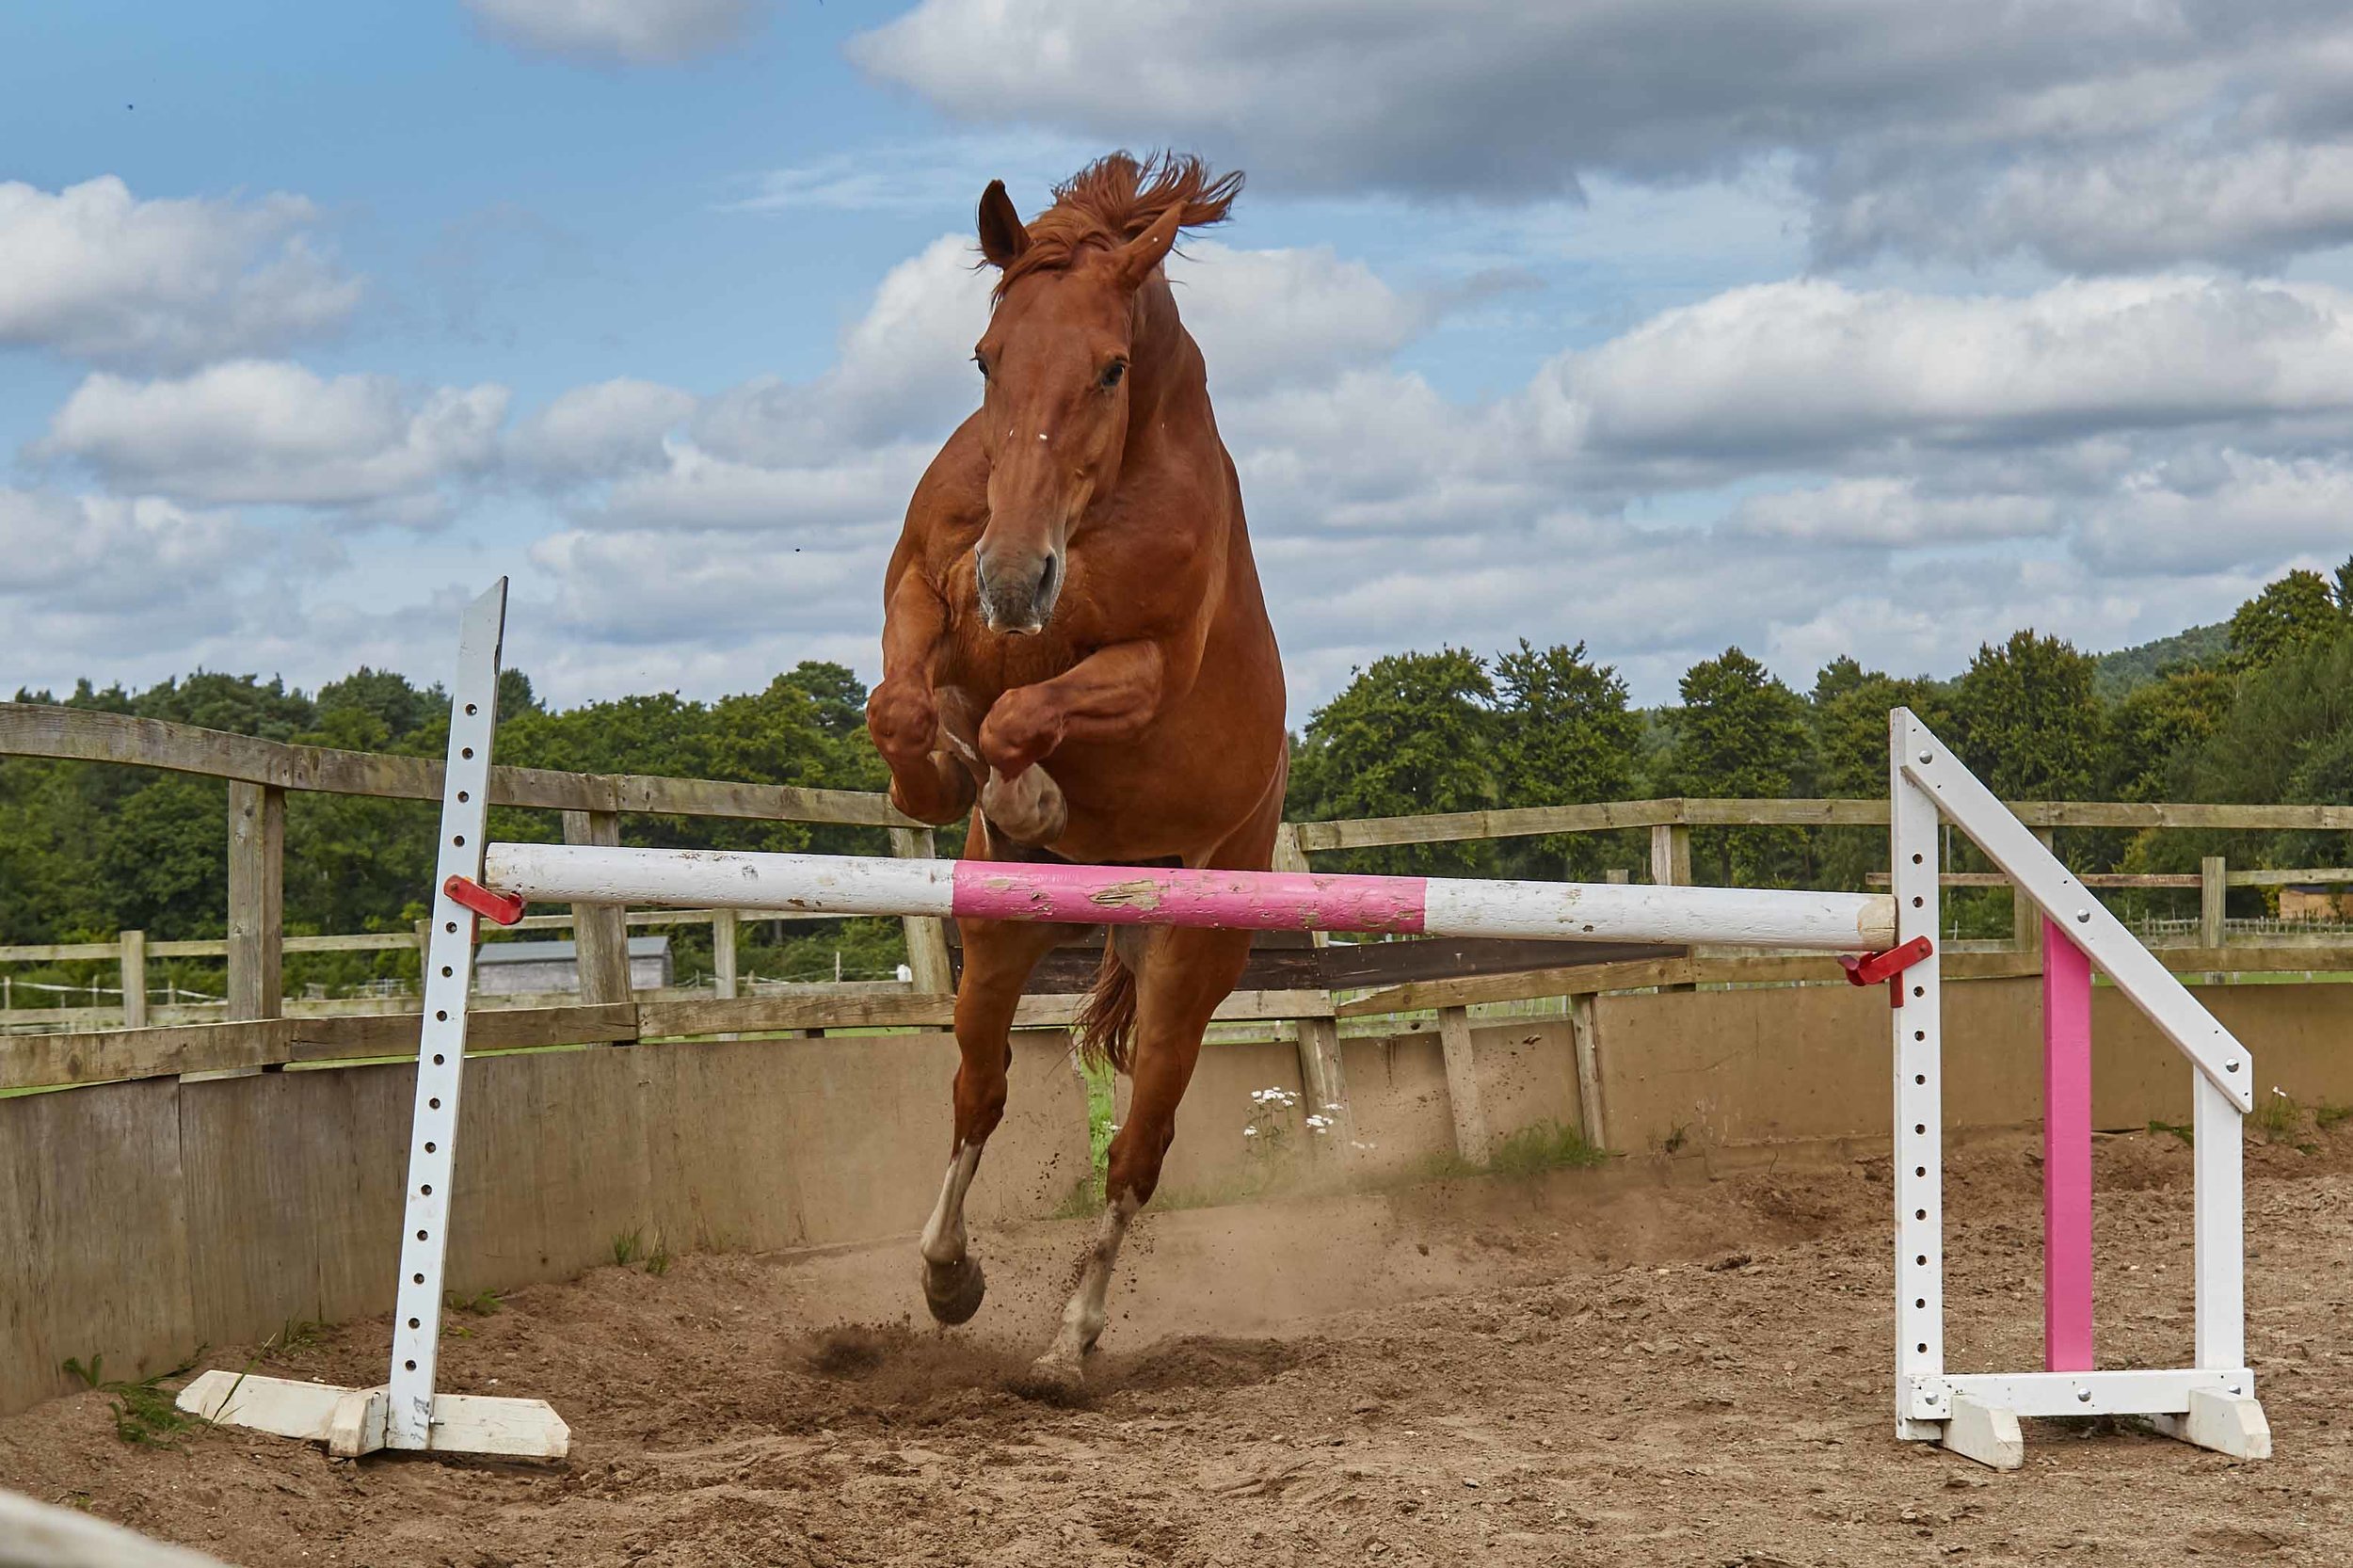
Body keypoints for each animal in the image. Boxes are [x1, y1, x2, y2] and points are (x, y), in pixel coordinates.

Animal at [866, 155, 1289, 1384]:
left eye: (1110, 367)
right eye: (985, 358)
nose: (1015, 579)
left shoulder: (1144, 668)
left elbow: (1023, 717)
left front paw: (1027, 790)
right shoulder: (920, 593)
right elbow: (902, 704)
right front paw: (938, 782)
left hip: (1189, 969)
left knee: (1136, 1155)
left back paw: (1068, 1343)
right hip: (997, 948)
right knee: (980, 1092)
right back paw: (950, 1277)